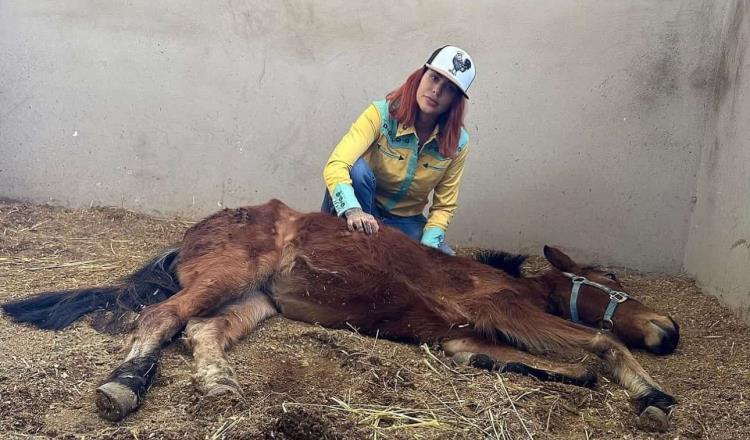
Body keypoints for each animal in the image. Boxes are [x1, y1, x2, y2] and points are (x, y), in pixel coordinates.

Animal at [0, 199, 680, 430]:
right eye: (612, 283)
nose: (669, 332)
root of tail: (192, 232)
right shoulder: (504, 309)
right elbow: (600, 343)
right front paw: (652, 397)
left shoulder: (464, 339)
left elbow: (523, 361)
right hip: (229, 278)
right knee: (161, 318)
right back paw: (122, 387)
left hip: (254, 300)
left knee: (200, 330)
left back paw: (217, 383)